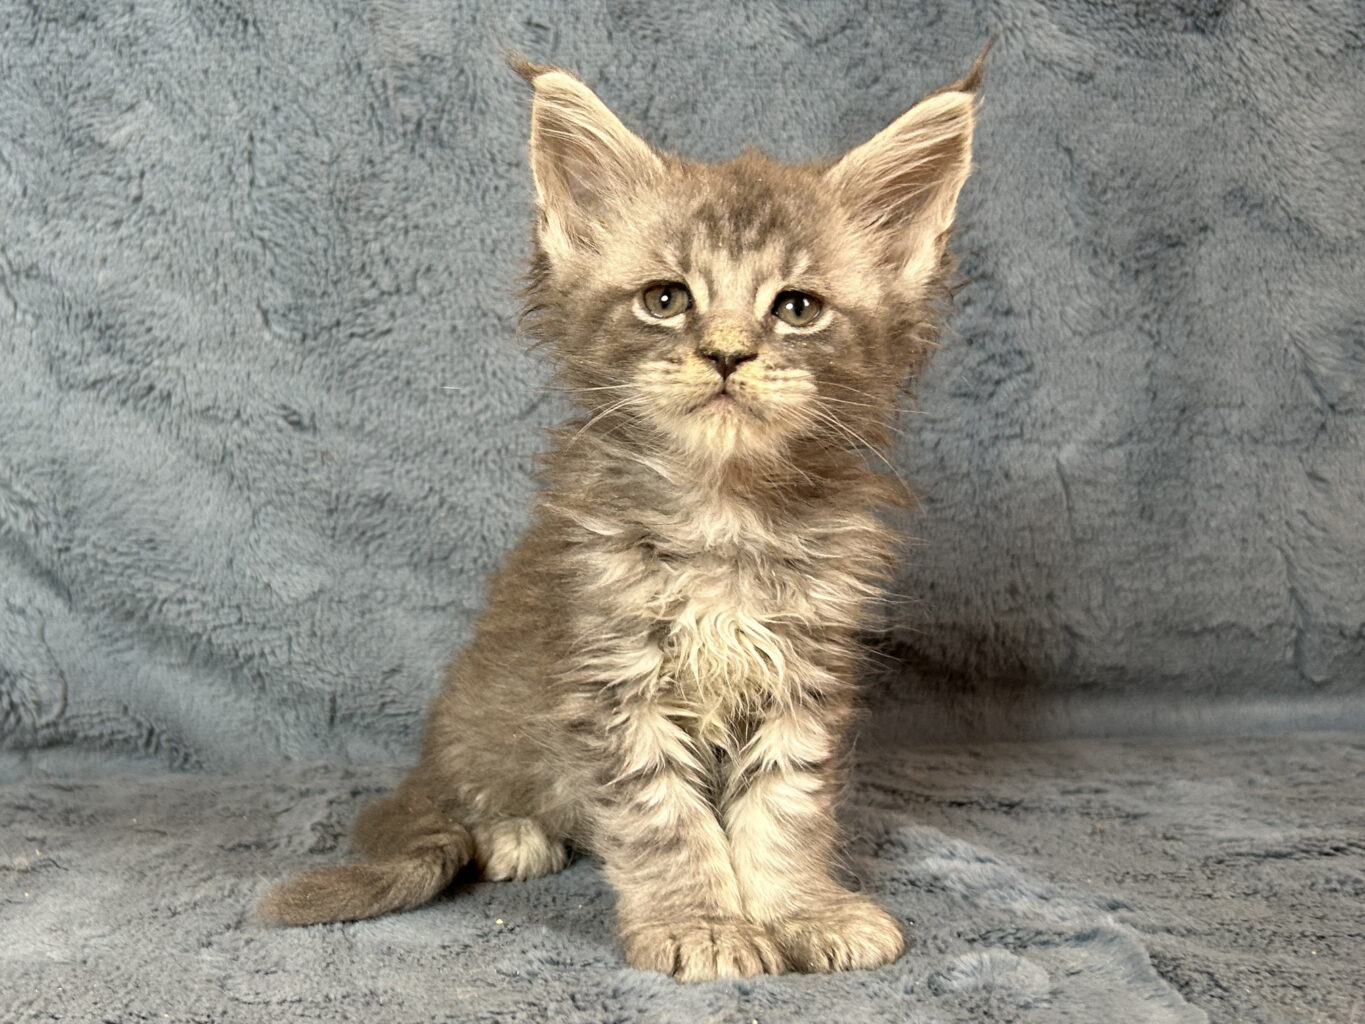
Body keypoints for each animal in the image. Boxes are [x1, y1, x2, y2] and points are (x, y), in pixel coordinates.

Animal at [259, 48, 984, 981]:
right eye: (666, 299)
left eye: (796, 308)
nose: (725, 355)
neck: (722, 511)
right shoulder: (611, 678)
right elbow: (665, 821)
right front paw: (701, 923)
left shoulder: (803, 674)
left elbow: (784, 810)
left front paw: (801, 910)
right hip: (481, 730)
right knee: (468, 800)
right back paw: (515, 832)